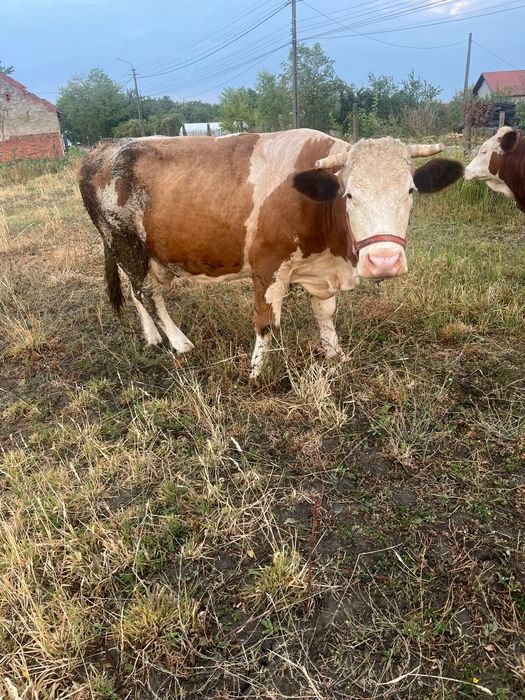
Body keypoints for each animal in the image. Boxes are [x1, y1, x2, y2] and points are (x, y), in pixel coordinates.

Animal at [78, 129, 463, 379]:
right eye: (349, 194)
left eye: (410, 190)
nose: (384, 261)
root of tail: (105, 146)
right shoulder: (267, 266)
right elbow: (266, 324)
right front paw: (257, 371)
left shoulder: (321, 271)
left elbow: (325, 313)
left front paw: (334, 352)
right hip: (123, 239)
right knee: (147, 292)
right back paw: (178, 342)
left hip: (140, 250)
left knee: (138, 291)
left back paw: (153, 337)